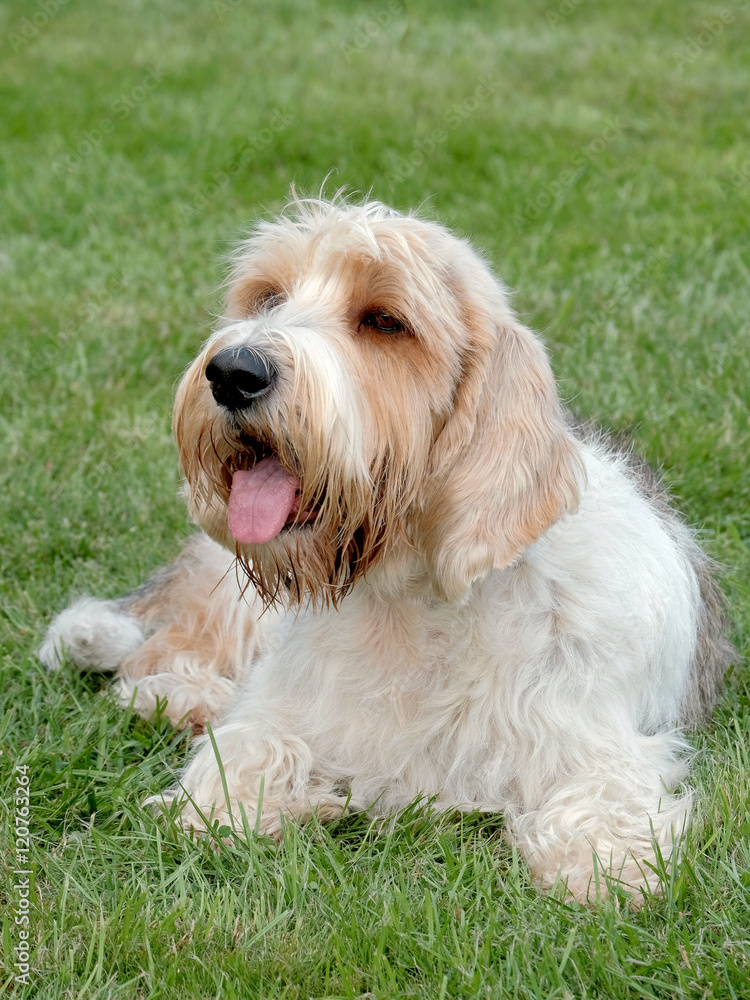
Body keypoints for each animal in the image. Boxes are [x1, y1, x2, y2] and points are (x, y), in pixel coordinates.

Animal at [41, 191, 736, 904]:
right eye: (268, 298)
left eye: (384, 321)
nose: (233, 372)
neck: (413, 598)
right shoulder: (281, 707)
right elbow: (249, 747)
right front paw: (220, 808)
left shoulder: (602, 744)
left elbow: (599, 799)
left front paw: (601, 867)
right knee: (158, 652)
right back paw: (177, 696)